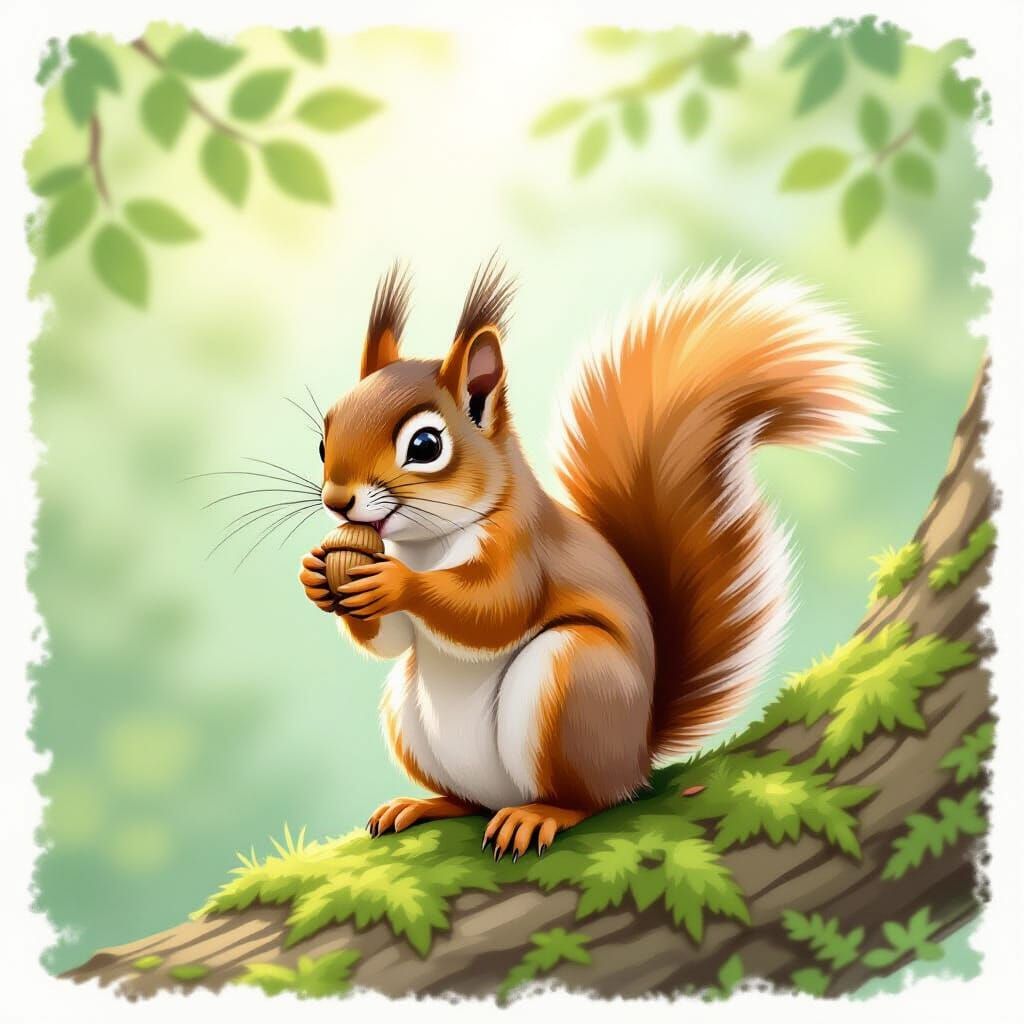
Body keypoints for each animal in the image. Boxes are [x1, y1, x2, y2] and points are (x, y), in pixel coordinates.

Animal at [299, 258, 883, 861]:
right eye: (323, 440)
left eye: (425, 446)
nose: (337, 500)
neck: (427, 544)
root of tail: (638, 756)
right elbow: (392, 641)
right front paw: (318, 573)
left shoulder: (524, 550)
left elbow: (493, 611)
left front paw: (394, 583)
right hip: (412, 719)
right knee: (467, 798)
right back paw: (423, 804)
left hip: (575, 682)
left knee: (590, 800)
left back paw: (539, 815)